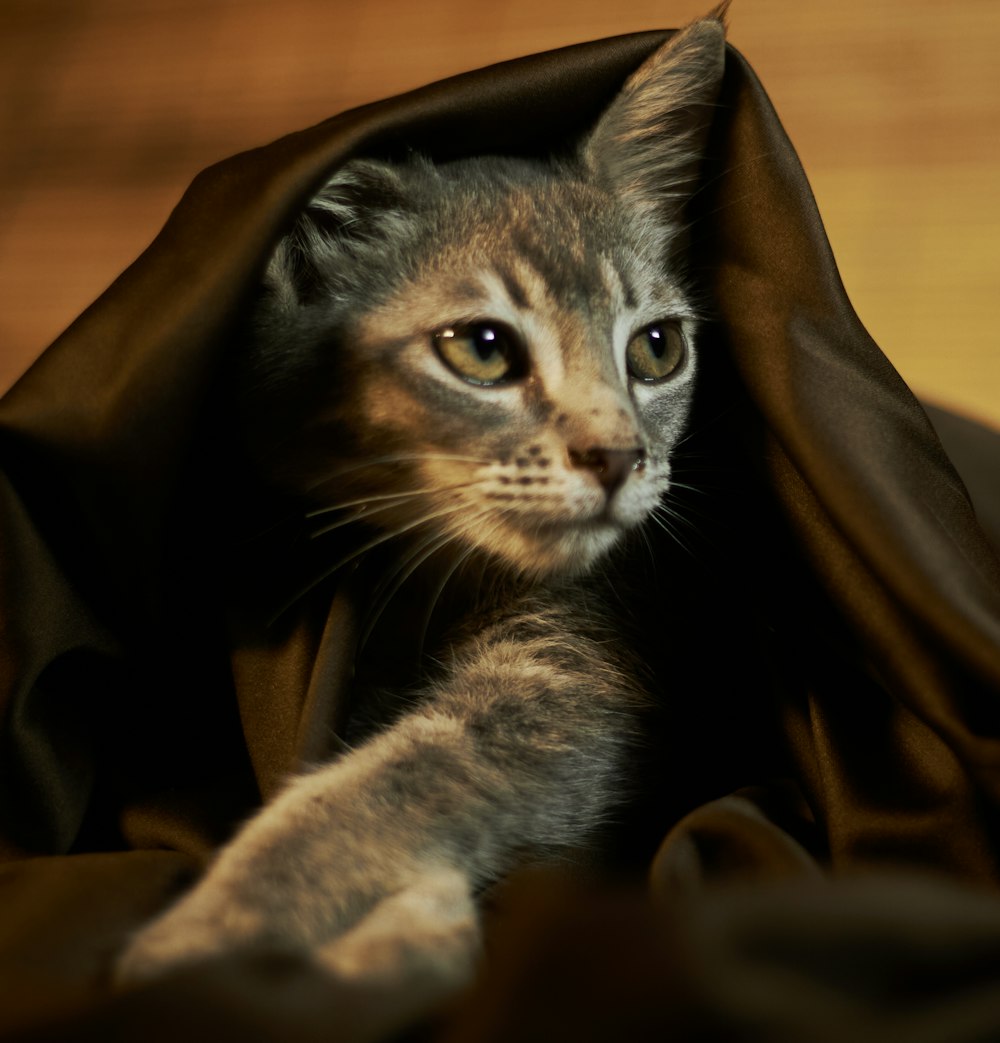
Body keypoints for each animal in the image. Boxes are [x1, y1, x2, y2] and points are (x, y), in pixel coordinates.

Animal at [115, 14, 725, 992]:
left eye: (658, 347)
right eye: (482, 349)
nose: (620, 455)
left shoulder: (568, 677)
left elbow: (405, 777)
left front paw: (216, 930)